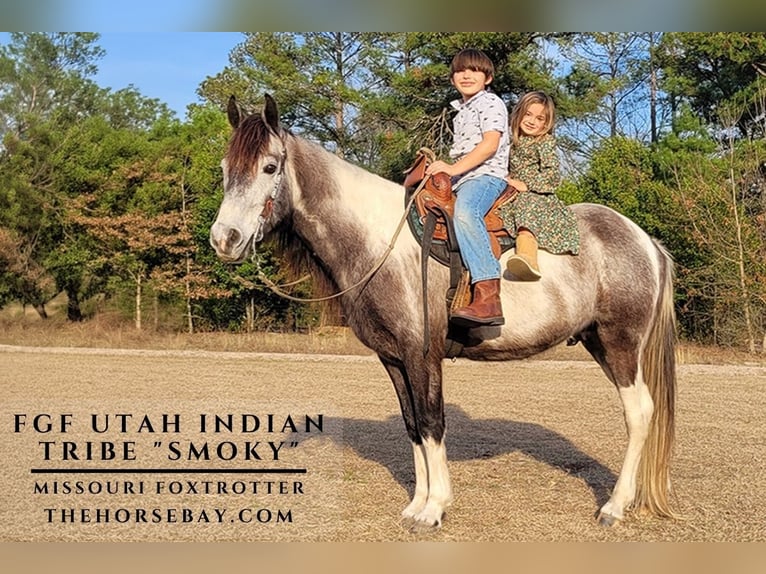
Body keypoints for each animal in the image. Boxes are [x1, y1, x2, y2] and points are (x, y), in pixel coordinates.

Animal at [209, 94, 678, 530]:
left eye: (270, 168)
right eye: (225, 167)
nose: (224, 238)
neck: (379, 242)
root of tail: (645, 240)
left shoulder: (423, 356)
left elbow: (433, 422)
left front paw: (434, 508)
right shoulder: (394, 359)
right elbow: (413, 425)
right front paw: (417, 503)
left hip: (621, 344)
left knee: (639, 413)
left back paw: (615, 506)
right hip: (598, 340)